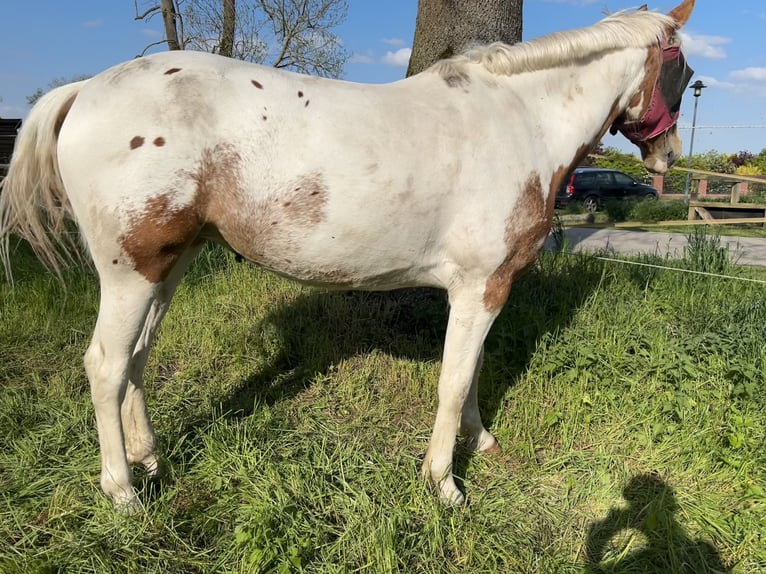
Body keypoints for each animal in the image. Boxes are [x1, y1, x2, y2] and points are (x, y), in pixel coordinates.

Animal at [0, 1, 696, 512]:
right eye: (684, 73)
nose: (667, 158)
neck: (518, 120)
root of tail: (86, 90)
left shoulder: (482, 291)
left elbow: (470, 375)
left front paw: (481, 441)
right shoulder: (480, 286)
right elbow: (452, 381)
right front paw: (444, 484)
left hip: (168, 267)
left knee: (138, 357)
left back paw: (150, 459)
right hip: (131, 273)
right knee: (106, 365)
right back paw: (122, 492)